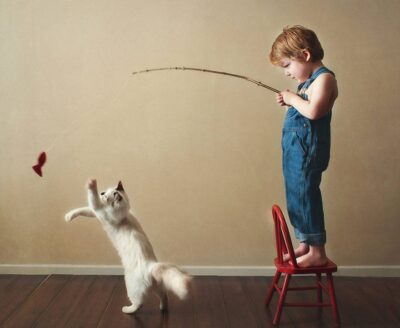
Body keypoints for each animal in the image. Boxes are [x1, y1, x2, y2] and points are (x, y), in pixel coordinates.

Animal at [64, 178, 192, 314]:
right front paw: (68, 216)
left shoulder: (101, 211)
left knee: (139, 303)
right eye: (104, 192)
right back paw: (163, 308)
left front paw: (91, 184)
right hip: (156, 287)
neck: (124, 215)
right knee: (164, 295)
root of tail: (151, 265)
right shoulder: (97, 212)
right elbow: (83, 209)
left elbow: (93, 200)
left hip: (130, 286)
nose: (102, 193)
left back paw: (127, 310)